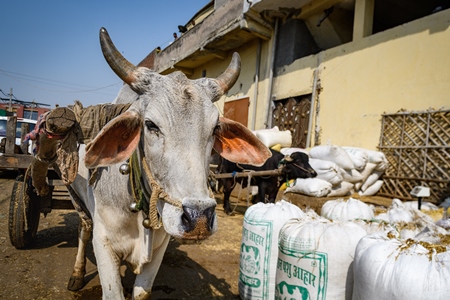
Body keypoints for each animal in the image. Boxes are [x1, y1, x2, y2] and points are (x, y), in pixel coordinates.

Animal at [66, 27, 270, 298]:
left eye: (215, 128)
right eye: (150, 124)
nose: (199, 218)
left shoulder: (160, 246)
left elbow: (141, 291)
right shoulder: (103, 243)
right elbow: (113, 290)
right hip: (76, 198)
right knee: (83, 229)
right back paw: (76, 274)